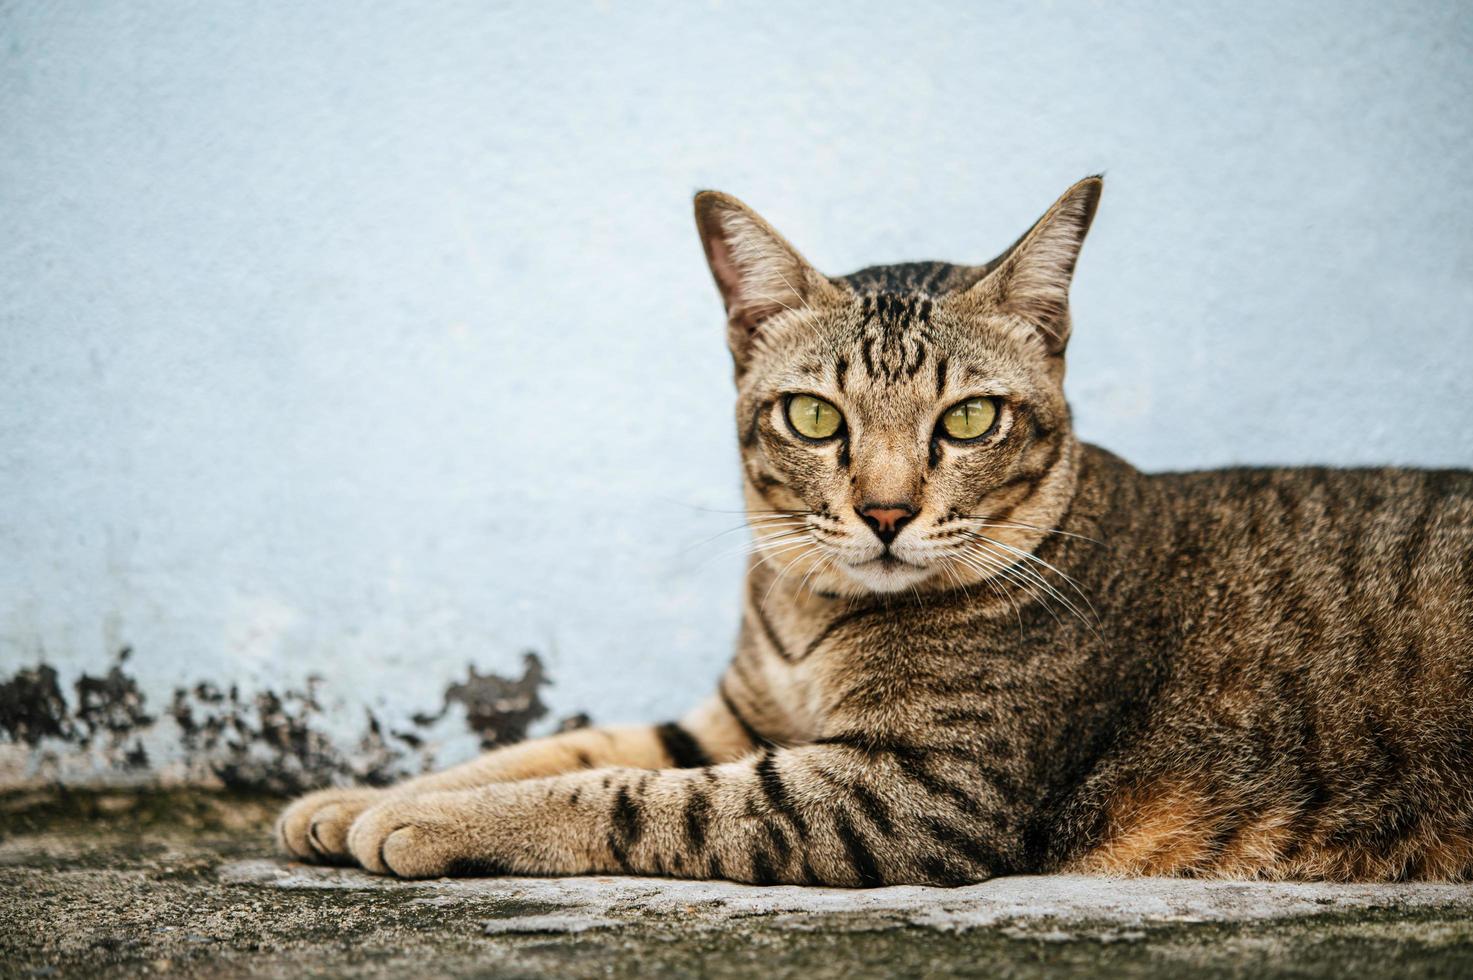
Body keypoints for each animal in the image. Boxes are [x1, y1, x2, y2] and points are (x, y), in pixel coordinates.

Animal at [278, 177, 1473, 884]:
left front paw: (430, 822)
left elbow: (627, 795)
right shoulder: (735, 719)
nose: (887, 512)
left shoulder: (914, 790)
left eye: (969, 419)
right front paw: (363, 796)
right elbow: (565, 745)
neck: (813, 613)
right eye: (815, 416)